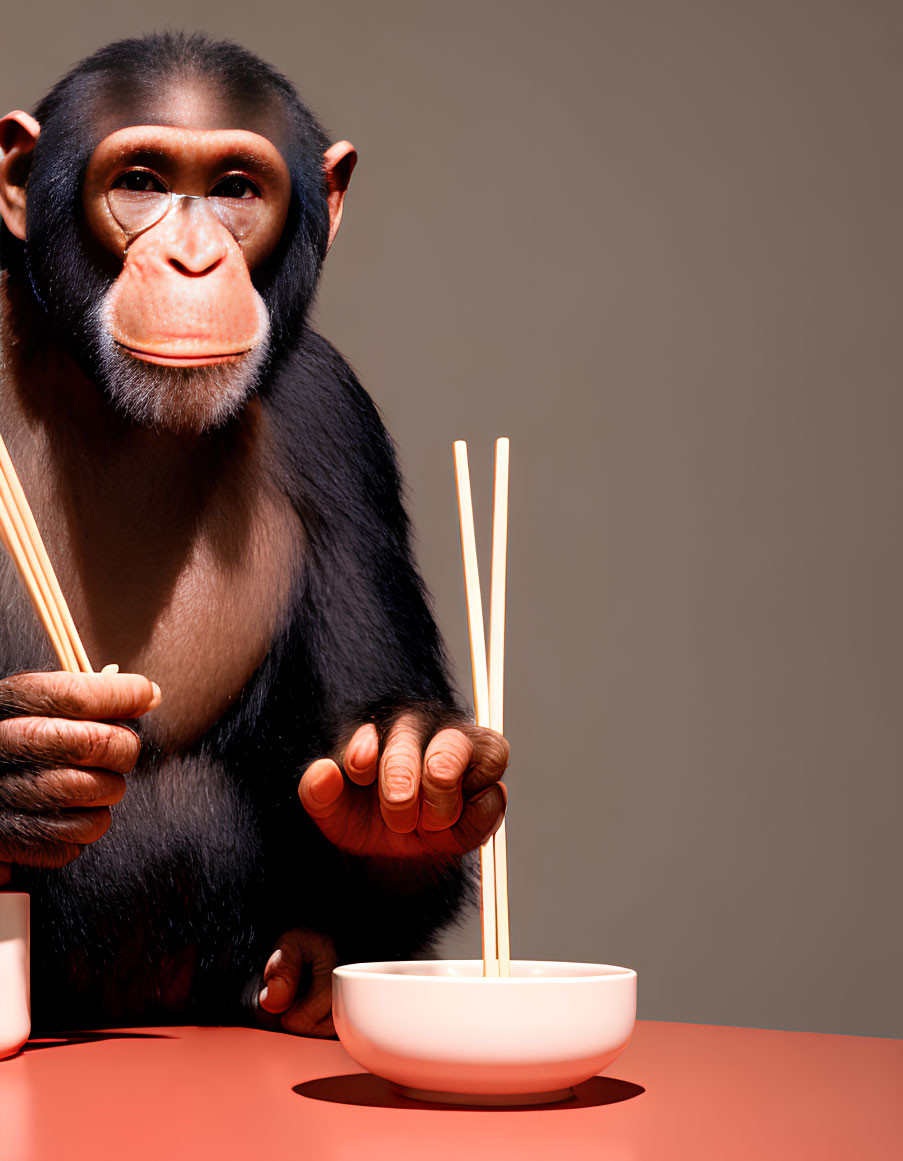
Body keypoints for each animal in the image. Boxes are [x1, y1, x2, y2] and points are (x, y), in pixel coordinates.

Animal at [0, 33, 506, 1035]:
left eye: (236, 190)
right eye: (142, 181)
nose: (194, 261)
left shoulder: (335, 421)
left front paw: (415, 770)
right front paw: (15, 765)